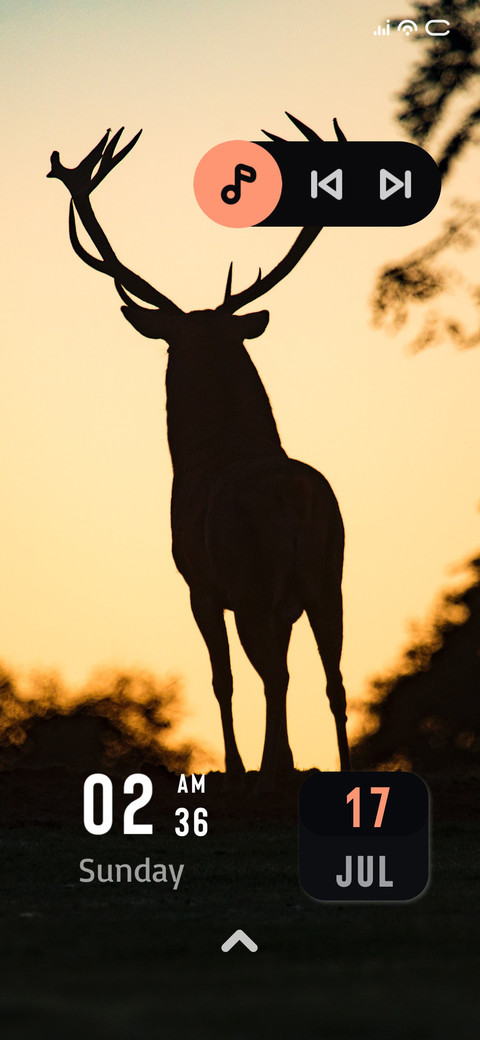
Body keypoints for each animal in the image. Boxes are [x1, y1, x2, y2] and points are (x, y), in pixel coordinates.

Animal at [47, 114, 351, 787]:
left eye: (170, 343)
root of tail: (295, 500)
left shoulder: (199, 583)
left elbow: (221, 679)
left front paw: (237, 765)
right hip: (331, 574)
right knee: (334, 680)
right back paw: (339, 766)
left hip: (254, 576)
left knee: (271, 673)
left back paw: (273, 766)